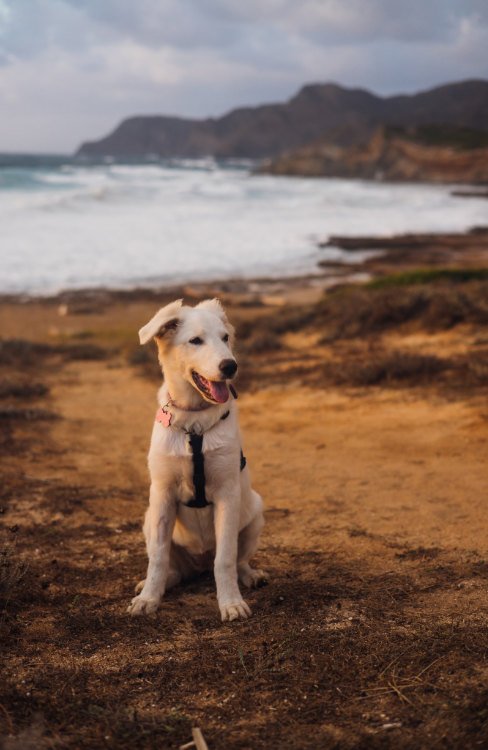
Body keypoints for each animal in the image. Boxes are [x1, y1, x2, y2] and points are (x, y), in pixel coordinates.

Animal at [127, 298, 266, 624]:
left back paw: (250, 575)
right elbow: (158, 557)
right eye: (195, 341)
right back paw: (156, 583)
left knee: (237, 561)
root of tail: (198, 563)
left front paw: (231, 603)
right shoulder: (162, 493)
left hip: (255, 512)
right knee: (171, 567)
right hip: (148, 518)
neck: (195, 423)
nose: (230, 366)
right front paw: (149, 598)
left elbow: (225, 559)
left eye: (225, 338)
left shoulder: (228, 493)